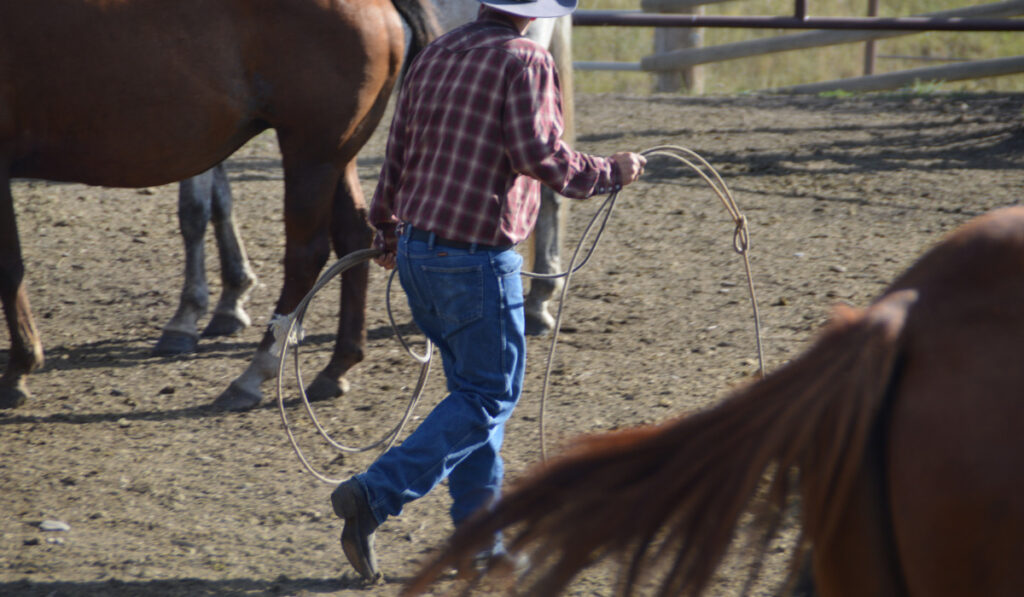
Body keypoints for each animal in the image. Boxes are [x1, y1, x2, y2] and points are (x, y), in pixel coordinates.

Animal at [0, 0, 436, 411]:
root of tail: (377, 4)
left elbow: (10, 266)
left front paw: (19, 367)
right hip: (336, 154)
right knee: (353, 236)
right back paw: (337, 365)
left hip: (312, 153)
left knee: (306, 256)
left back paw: (255, 372)